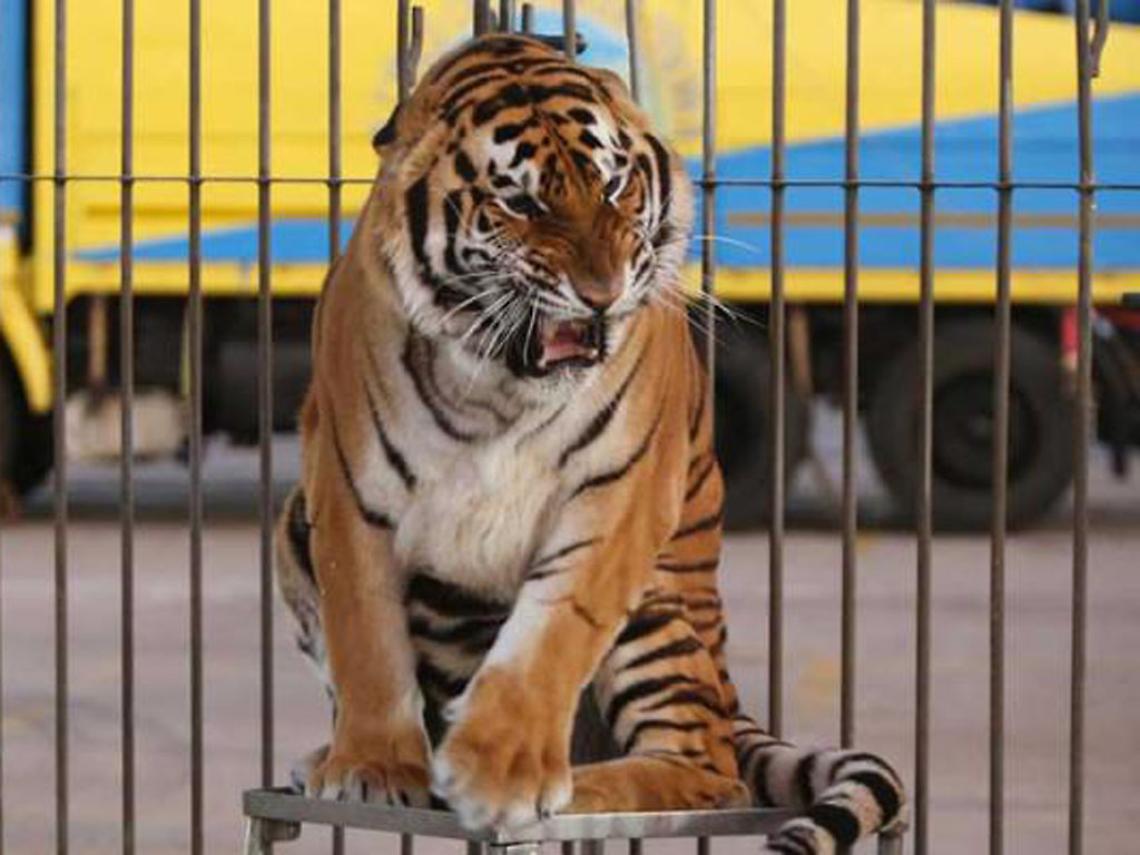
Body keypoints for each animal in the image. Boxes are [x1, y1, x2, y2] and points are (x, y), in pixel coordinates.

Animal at [275, 33, 906, 853]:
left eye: (614, 188)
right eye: (520, 202)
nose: (600, 295)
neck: (497, 385)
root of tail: (730, 688)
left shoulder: (621, 491)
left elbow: (552, 633)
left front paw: (500, 775)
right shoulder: (347, 483)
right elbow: (366, 637)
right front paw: (373, 766)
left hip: (663, 615)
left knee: (706, 769)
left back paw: (577, 785)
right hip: (293, 524)